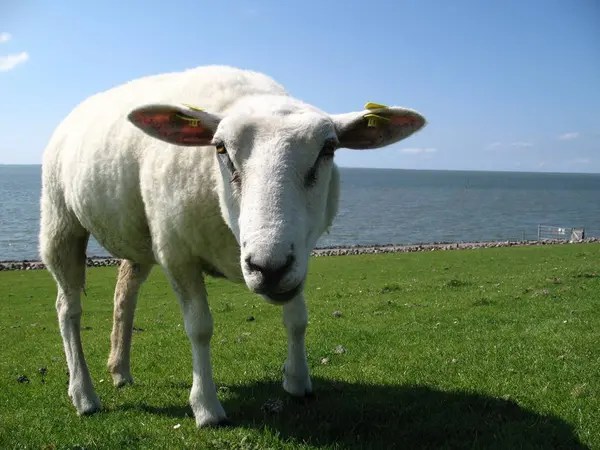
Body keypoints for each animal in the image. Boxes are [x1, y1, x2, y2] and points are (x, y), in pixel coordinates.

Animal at [38, 65, 426, 428]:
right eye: (220, 148)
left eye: (328, 148)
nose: (267, 267)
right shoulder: (176, 251)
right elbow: (199, 328)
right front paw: (207, 408)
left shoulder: (298, 253)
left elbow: (297, 319)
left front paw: (298, 381)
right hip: (60, 220)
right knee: (67, 308)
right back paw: (84, 395)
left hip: (138, 235)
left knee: (124, 295)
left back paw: (119, 370)